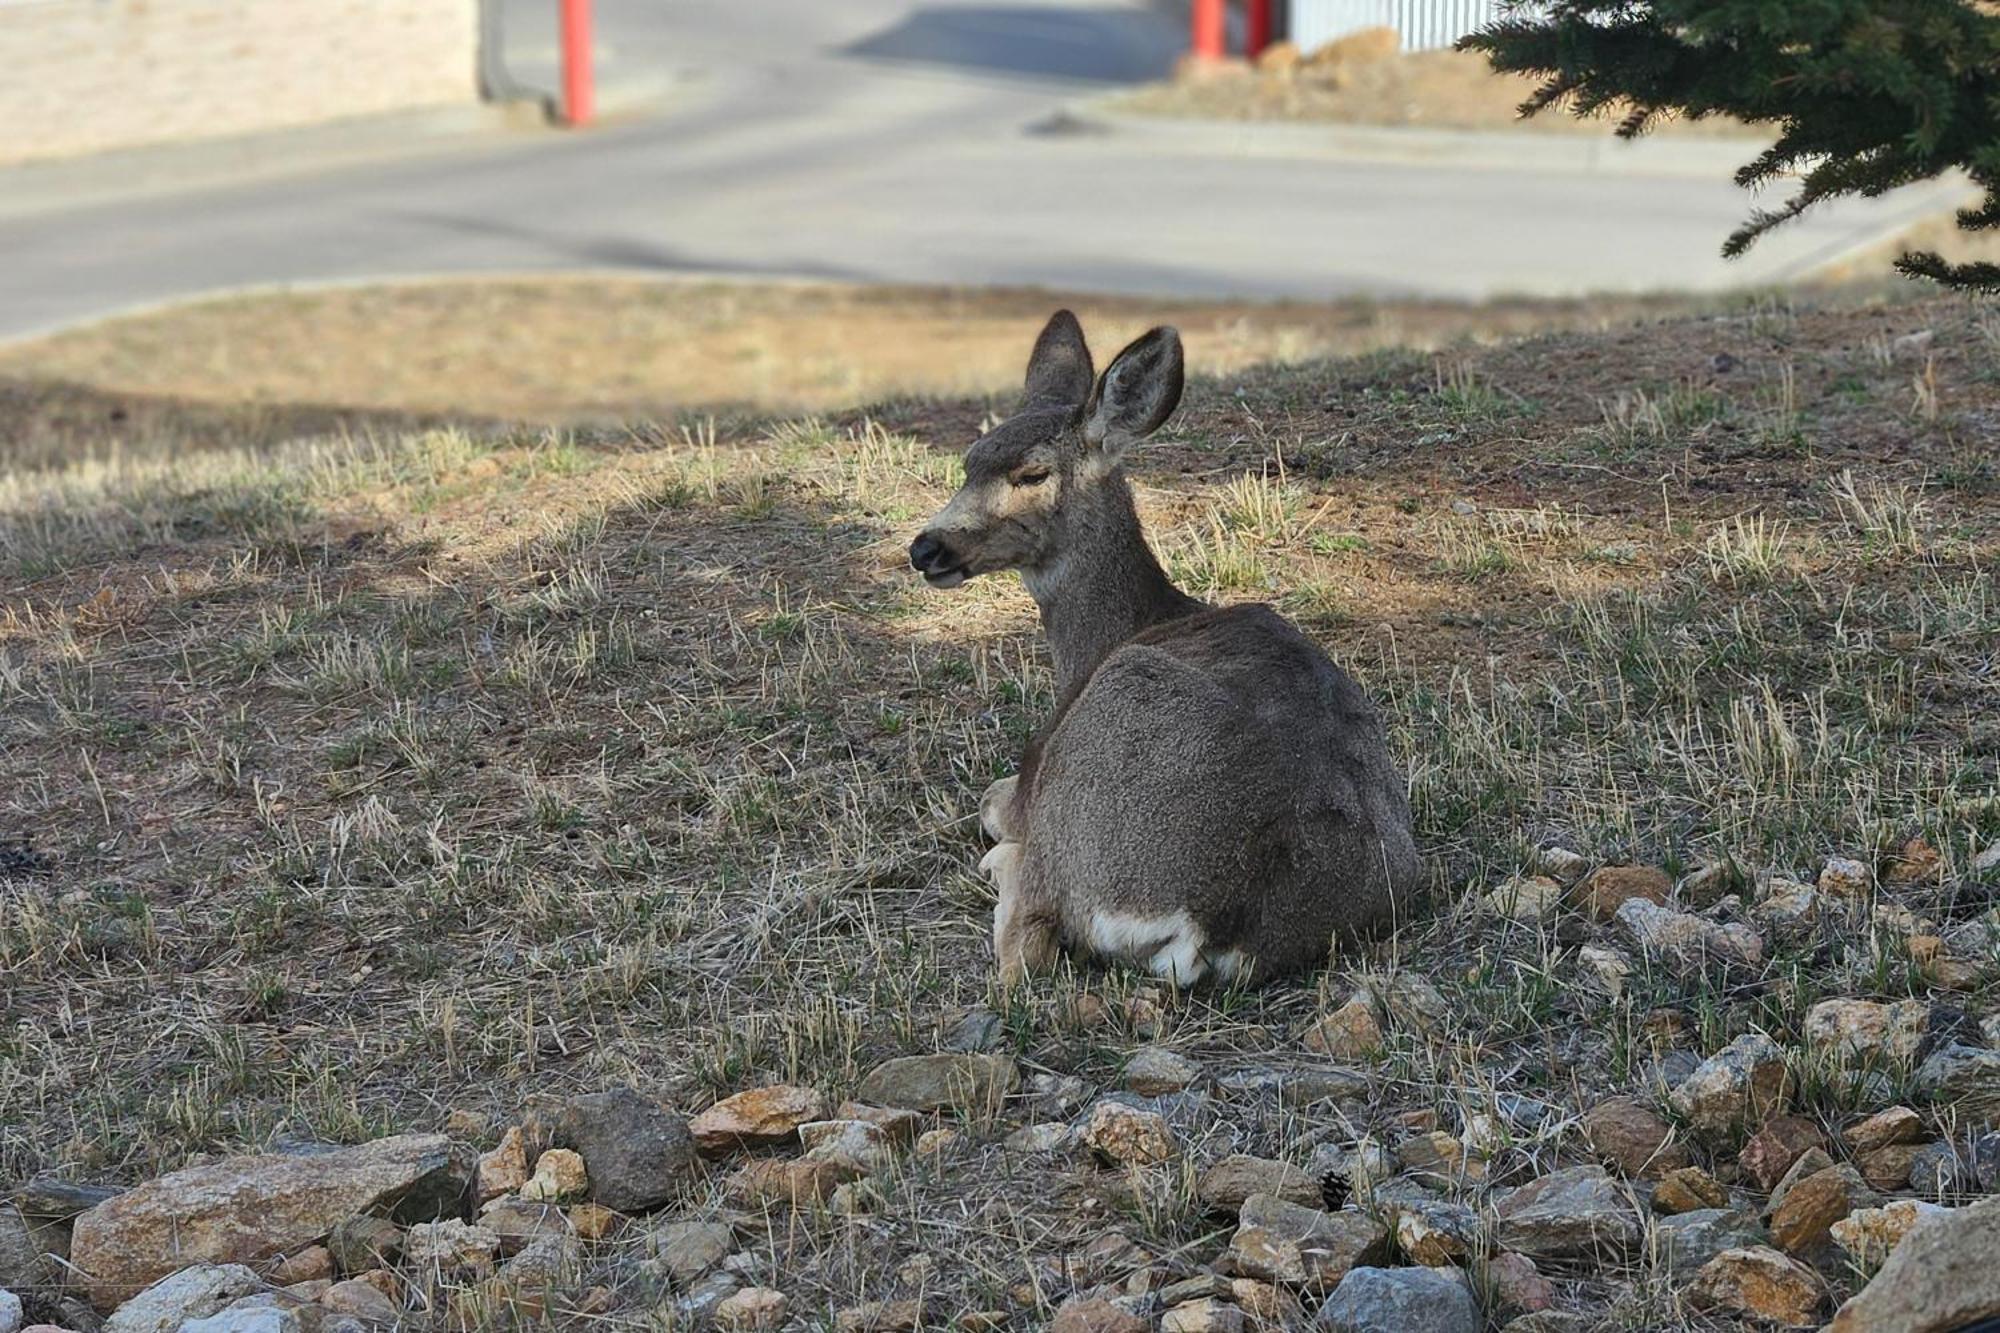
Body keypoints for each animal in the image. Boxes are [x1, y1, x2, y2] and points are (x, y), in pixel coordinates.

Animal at [908, 306, 1424, 980]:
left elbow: (991, 803)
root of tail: (1214, 921)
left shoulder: (1030, 778)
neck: (1111, 636)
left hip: (1094, 753)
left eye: (1031, 473)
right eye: (968, 460)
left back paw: (1003, 869)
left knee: (1027, 940)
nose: (925, 548)